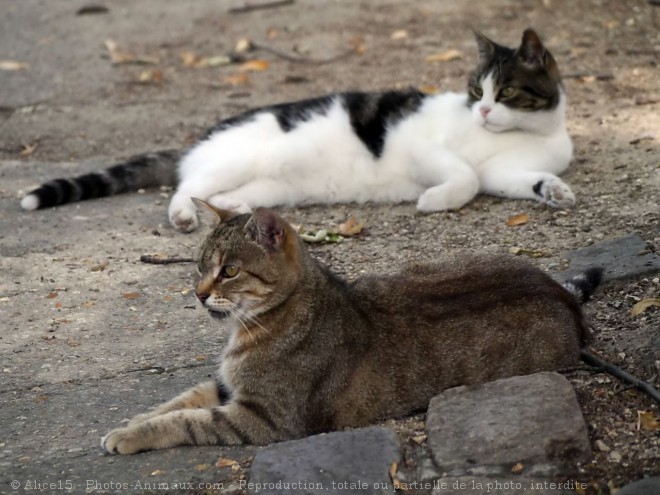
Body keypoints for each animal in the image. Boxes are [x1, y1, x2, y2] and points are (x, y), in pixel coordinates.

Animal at [20, 29, 576, 232]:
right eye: (475, 89)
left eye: (504, 92)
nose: (481, 111)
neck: (522, 133)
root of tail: (199, 138)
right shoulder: (421, 145)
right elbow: (463, 176)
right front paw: (434, 199)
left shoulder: (505, 173)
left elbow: (513, 180)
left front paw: (554, 191)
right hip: (235, 159)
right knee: (185, 186)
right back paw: (182, 215)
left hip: (269, 185)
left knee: (218, 194)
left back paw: (233, 208)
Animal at [100, 201, 600, 454]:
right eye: (200, 267)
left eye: (229, 272)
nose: (199, 294)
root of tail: (561, 295)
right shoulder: (226, 386)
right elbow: (179, 400)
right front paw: (135, 420)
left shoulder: (266, 419)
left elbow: (187, 420)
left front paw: (129, 435)